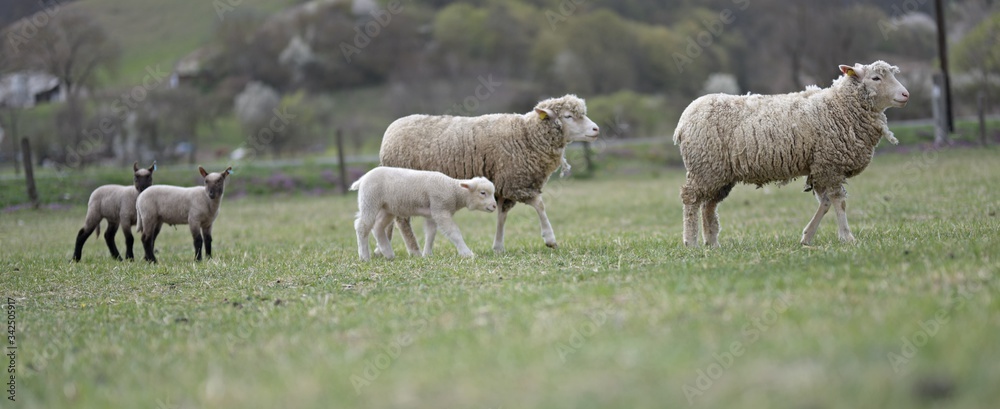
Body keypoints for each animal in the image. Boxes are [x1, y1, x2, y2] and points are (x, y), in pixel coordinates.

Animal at [351, 166, 497, 261]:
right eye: (483, 193)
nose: (494, 206)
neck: (453, 190)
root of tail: (362, 179)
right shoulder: (440, 209)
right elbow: (454, 233)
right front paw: (467, 253)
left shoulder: (432, 213)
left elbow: (431, 234)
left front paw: (427, 254)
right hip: (369, 200)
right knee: (362, 226)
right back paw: (364, 257)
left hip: (387, 208)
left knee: (378, 227)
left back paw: (388, 254)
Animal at [378, 94, 599, 253]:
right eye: (568, 116)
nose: (596, 129)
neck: (527, 136)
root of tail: (390, 131)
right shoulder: (514, 182)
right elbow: (539, 204)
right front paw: (550, 238)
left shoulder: (503, 185)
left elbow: (502, 216)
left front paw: (498, 247)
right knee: (402, 221)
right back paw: (412, 251)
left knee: (389, 218)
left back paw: (383, 249)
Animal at [673, 60, 909, 247]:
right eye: (876, 78)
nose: (906, 94)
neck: (840, 105)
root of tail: (683, 121)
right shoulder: (830, 164)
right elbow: (837, 201)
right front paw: (847, 237)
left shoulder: (819, 166)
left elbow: (825, 202)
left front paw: (807, 237)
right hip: (704, 167)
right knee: (691, 200)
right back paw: (691, 242)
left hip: (718, 172)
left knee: (709, 205)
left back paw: (712, 243)